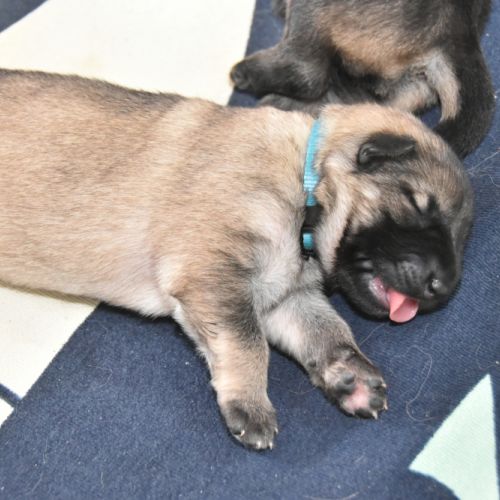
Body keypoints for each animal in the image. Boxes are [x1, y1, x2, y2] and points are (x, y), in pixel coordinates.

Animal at [0, 69, 473, 449]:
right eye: (418, 204)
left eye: (460, 236)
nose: (444, 287)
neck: (304, 177)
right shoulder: (214, 274)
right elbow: (249, 343)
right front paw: (250, 404)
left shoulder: (287, 299)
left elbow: (327, 331)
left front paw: (351, 375)